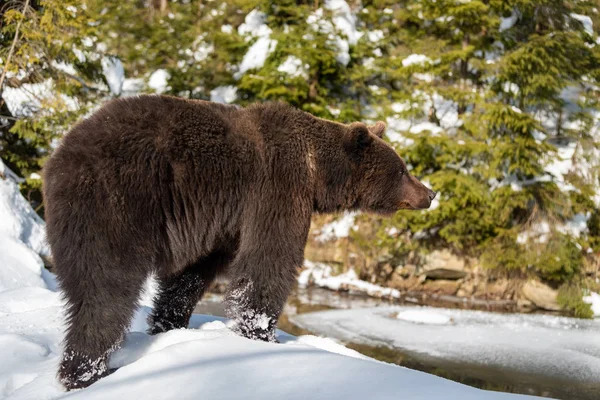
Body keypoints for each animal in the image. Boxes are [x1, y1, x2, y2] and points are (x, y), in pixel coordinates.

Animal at [42, 95, 436, 390]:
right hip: (115, 203)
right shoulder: (277, 185)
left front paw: (171, 326)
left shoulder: (222, 221)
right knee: (106, 289)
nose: (430, 193)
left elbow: (194, 272)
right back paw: (89, 372)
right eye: (403, 168)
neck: (317, 174)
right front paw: (262, 336)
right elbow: (270, 258)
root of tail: (59, 155)